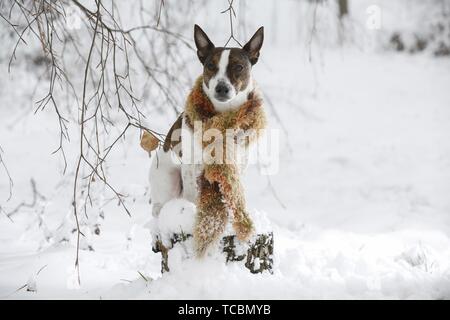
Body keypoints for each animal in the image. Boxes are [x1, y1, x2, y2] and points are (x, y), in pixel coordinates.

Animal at [148, 24, 264, 245]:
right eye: (210, 66)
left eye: (238, 67)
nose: (221, 87)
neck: (223, 116)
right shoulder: (191, 165)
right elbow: (193, 194)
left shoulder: (238, 164)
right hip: (167, 177)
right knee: (160, 207)